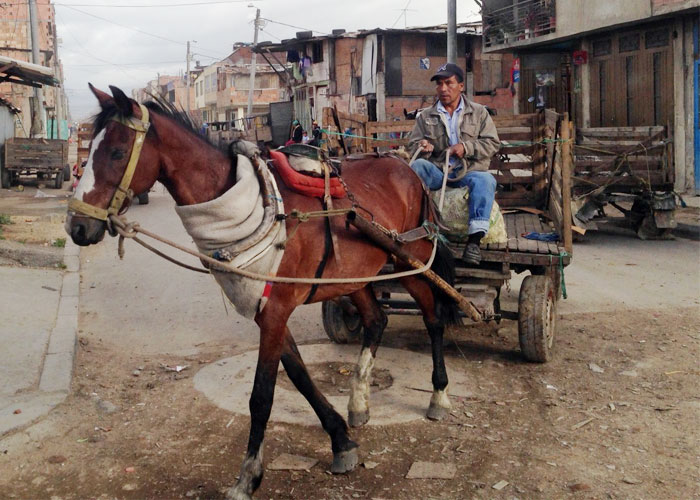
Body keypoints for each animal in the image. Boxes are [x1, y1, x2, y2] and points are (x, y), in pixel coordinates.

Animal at [66, 85, 461, 500]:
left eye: (116, 152)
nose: (77, 227)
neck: (247, 204)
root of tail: (407, 168)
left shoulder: (275, 311)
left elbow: (262, 396)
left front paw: (248, 476)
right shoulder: (267, 308)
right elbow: (300, 377)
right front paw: (340, 440)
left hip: (410, 261)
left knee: (433, 316)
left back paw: (438, 395)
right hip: (353, 277)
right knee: (376, 320)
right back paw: (358, 402)